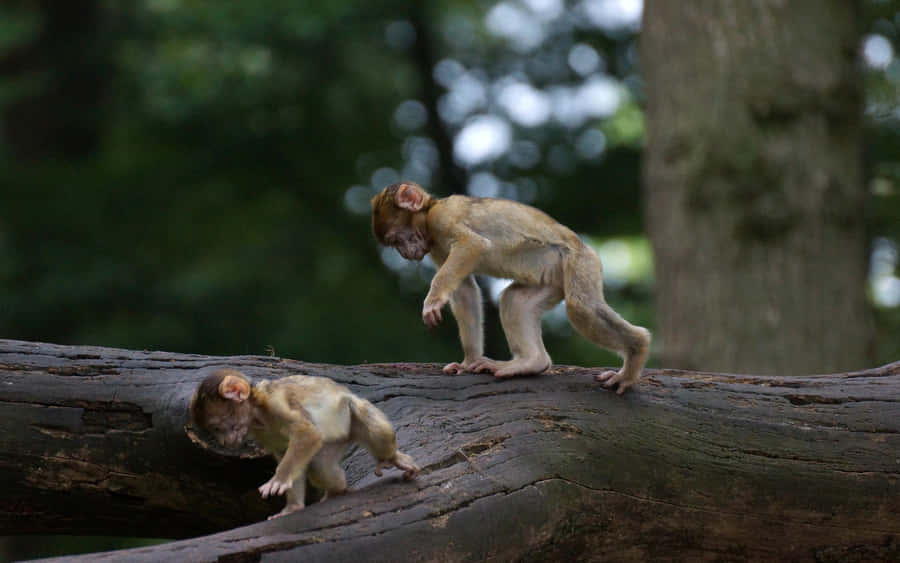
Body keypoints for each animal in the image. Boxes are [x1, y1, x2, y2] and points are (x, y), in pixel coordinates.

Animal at [190, 368, 419, 519]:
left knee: (367, 420)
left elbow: (307, 433)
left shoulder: (275, 405)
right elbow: (284, 451)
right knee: (320, 466)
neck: (256, 414)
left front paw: (279, 479)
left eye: (217, 427)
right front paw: (293, 506)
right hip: (333, 442)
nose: (224, 441)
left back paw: (392, 457)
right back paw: (337, 491)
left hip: (352, 415)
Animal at [371, 181, 651, 394]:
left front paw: (433, 298)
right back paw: (530, 363)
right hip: (552, 280)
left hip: (581, 262)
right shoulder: (435, 245)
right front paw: (470, 360)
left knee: (581, 308)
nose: (405, 253)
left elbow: (473, 245)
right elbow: (464, 290)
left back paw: (635, 353)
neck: (430, 212)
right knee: (514, 301)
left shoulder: (442, 219)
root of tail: (585, 247)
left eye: (398, 238)